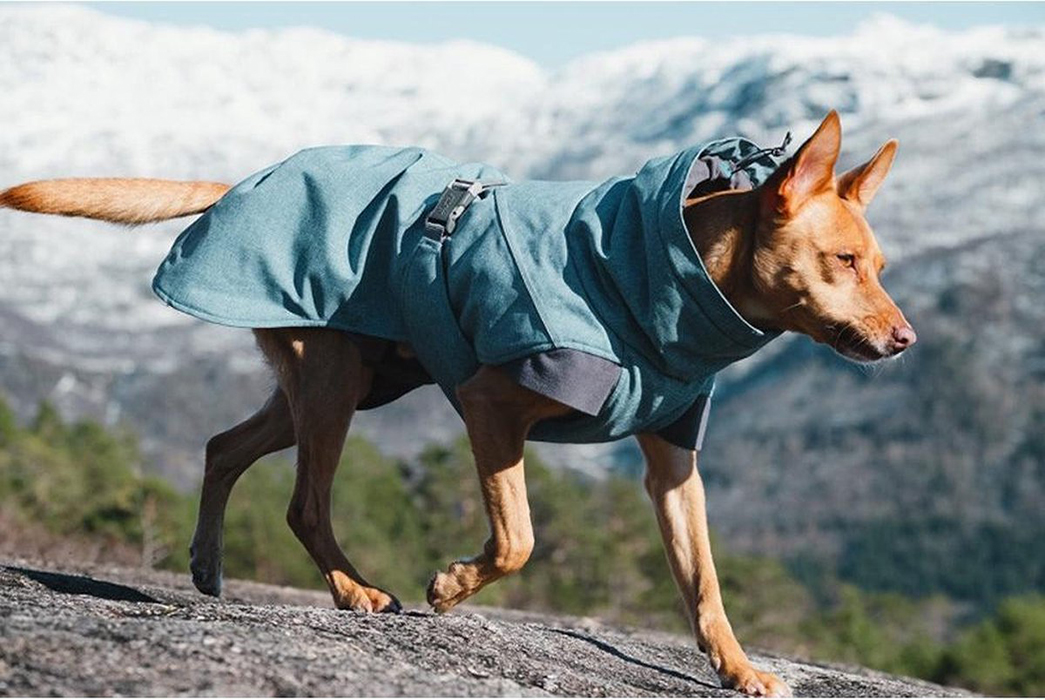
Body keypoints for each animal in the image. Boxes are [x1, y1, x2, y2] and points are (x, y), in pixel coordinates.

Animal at [2, 109, 915, 697]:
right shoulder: (488, 407)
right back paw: (355, 592)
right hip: (332, 387)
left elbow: (703, 583)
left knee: (222, 446)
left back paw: (205, 563)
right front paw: (448, 587)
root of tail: (242, 186)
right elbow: (518, 539)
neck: (657, 272)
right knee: (302, 504)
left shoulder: (671, 460)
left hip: (341, 382)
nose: (905, 339)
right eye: (842, 261)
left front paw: (735, 668)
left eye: (877, 265)